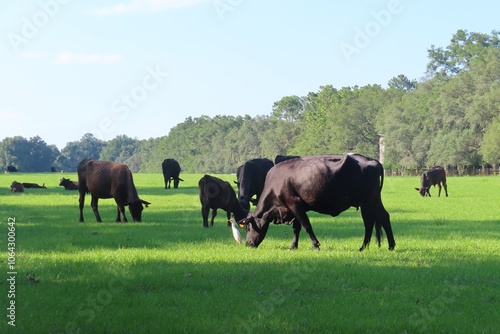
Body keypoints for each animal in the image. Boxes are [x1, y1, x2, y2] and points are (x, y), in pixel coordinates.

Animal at [236, 154, 396, 250]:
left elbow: (306, 225)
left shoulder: (294, 204)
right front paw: (293, 246)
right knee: (384, 217)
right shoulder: (297, 207)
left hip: (366, 202)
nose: (248, 244)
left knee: (369, 222)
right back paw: (391, 245)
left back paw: (363, 247)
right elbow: (296, 228)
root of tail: (373, 160)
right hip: (375, 200)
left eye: (248, 227)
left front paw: (316, 245)